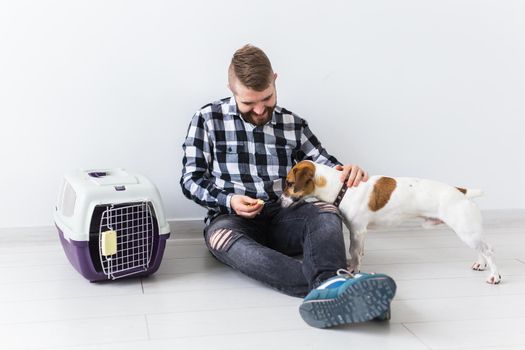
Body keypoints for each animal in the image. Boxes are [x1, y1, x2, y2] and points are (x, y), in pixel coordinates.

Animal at [280, 161, 502, 284]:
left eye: (289, 184)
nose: (279, 202)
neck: (342, 187)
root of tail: (461, 191)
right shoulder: (359, 234)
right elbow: (359, 252)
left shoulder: (357, 232)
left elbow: (354, 253)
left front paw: (353, 271)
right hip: (468, 232)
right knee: (481, 250)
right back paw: (480, 264)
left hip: (466, 231)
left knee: (489, 250)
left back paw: (495, 276)